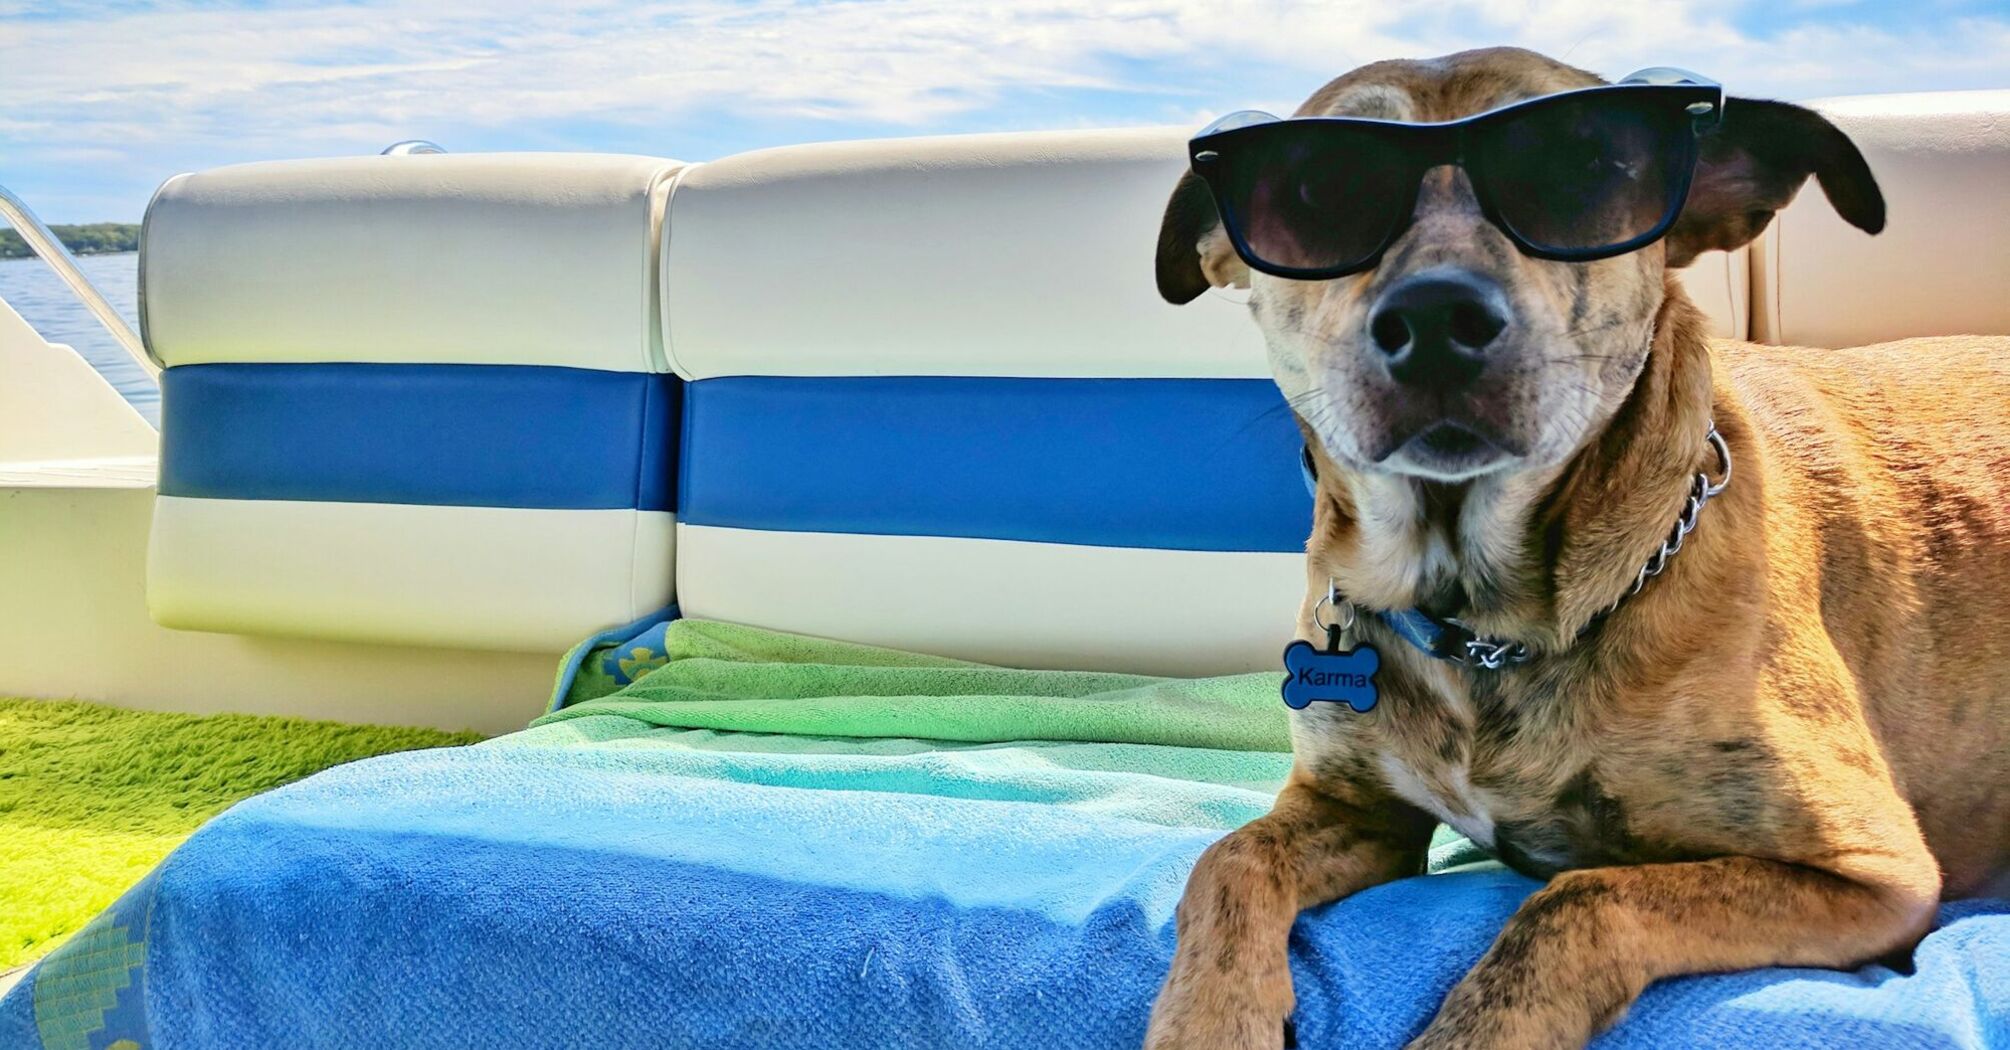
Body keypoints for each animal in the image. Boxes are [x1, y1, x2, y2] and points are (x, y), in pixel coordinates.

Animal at [1149, 42, 2010, 1045]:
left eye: (1582, 165)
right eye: (1318, 188)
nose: (1436, 320)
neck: (1480, 621)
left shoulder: (1872, 868)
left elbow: (1581, 899)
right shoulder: (1353, 810)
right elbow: (1227, 861)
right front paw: (1206, 1021)